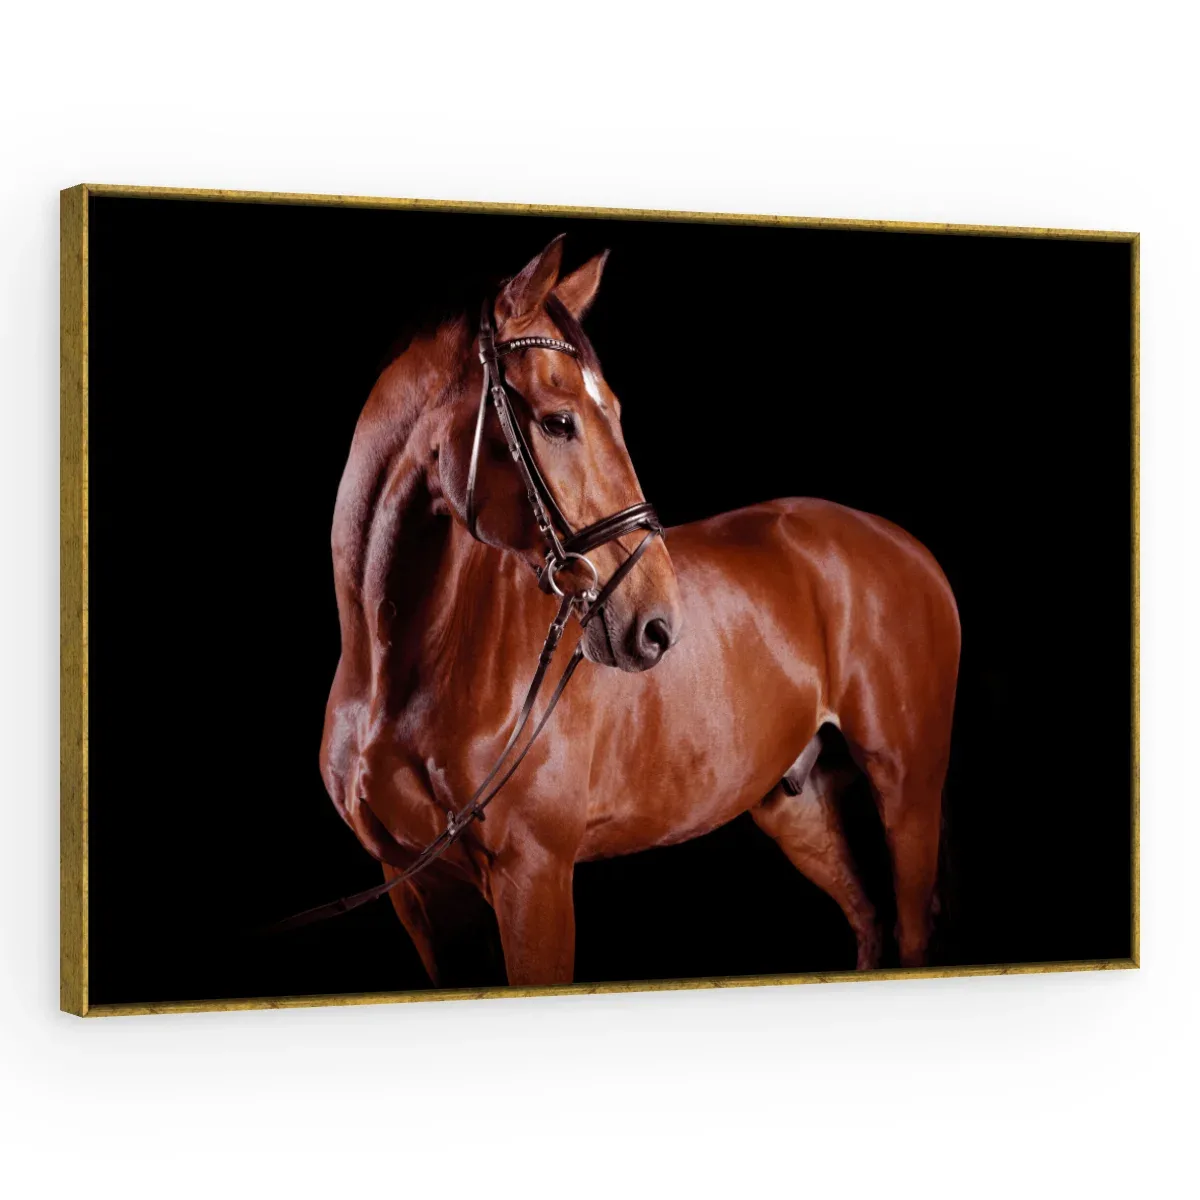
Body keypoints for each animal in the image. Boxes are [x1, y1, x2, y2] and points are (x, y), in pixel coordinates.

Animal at [317, 235, 961, 987]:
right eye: (559, 421)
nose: (658, 625)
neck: (400, 673)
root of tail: (905, 546)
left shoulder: (533, 877)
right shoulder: (418, 892)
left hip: (907, 789)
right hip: (798, 805)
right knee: (870, 923)